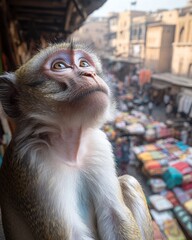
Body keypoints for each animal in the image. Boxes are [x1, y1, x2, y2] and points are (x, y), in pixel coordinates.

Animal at [0, 42, 153, 239]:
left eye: (84, 64)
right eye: (59, 66)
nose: (90, 74)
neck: (71, 149)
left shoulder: (99, 146)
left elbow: (115, 214)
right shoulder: (31, 164)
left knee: (128, 181)